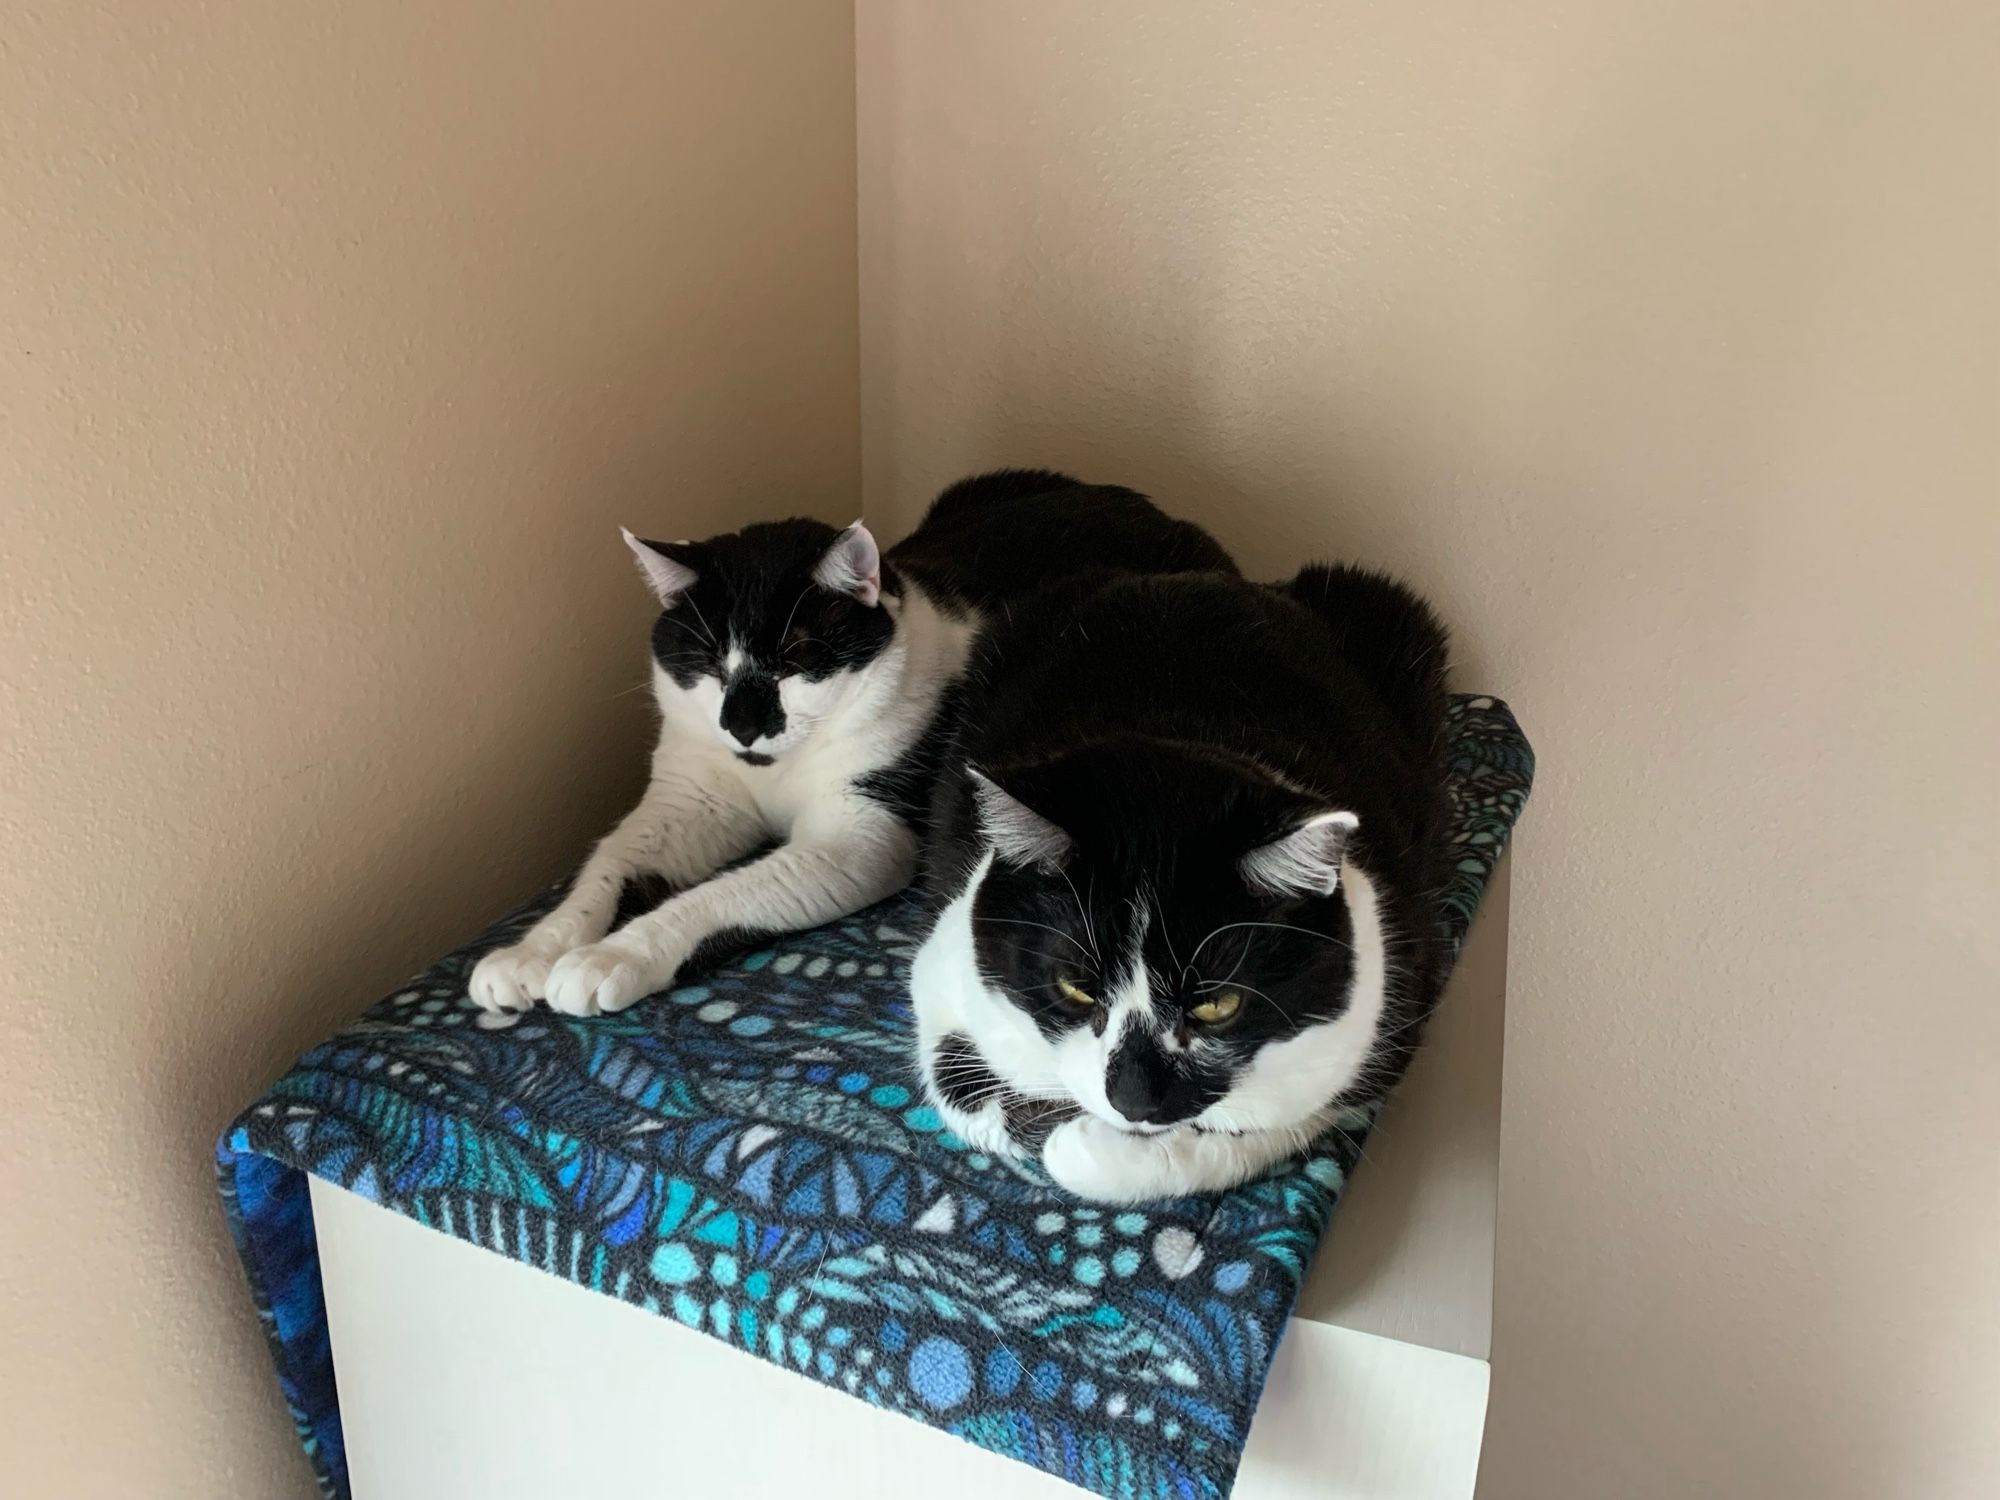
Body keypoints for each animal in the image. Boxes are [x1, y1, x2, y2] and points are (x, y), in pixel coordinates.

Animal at [468, 468, 1232, 1024]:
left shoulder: (862, 837)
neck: (775, 772)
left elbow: (725, 892)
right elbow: (610, 864)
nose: (743, 726)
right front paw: (531, 953)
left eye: (796, 662)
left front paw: (608, 959)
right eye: (709, 662)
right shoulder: (690, 797)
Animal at [912, 560, 1456, 1208]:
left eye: (1217, 1006)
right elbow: (967, 1080)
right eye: (1076, 989)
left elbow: (1263, 1128)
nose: (1134, 1100)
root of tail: (1195, 576)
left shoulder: (1379, 1014)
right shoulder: (948, 964)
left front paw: (1091, 1145)